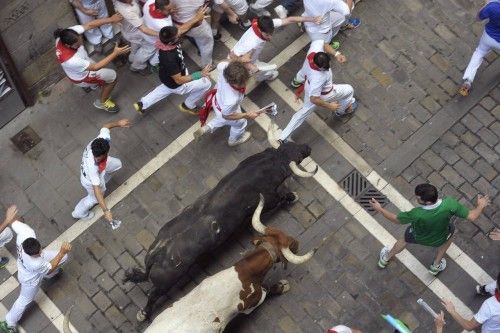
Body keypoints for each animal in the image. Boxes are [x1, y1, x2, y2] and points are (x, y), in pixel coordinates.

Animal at [123, 141, 314, 320]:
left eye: (292, 143)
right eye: (298, 156)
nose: (307, 147)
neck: (272, 160)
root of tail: (157, 255)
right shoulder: (269, 199)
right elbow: (282, 196)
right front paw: (293, 196)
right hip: (166, 283)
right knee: (152, 295)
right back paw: (144, 313)